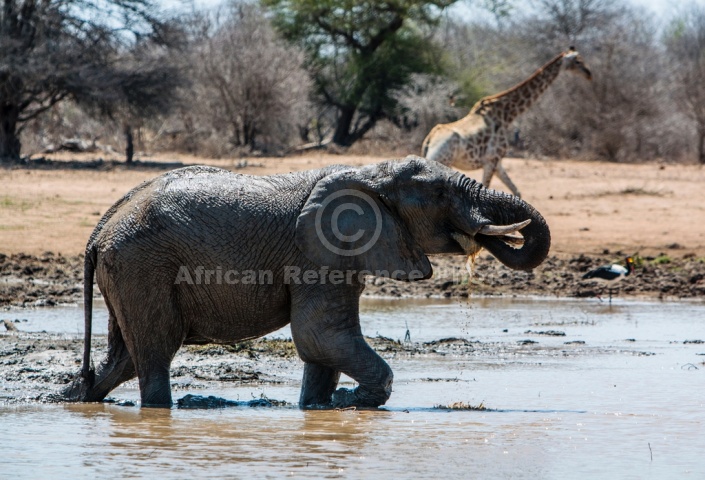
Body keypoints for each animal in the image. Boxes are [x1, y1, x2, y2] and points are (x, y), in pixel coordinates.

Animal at [64, 157, 552, 408]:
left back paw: (75, 396)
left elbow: (323, 345)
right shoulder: (316, 253)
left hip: (128, 270)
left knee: (124, 356)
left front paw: (319, 408)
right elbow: (321, 335)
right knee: (155, 351)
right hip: (142, 266)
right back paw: (156, 409)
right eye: (439, 195)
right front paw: (350, 400)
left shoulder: (339, 256)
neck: (370, 172)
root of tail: (99, 229)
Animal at [420, 47, 592, 198]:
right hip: (443, 160)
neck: (507, 115)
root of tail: (428, 142)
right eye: (577, 61)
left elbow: (517, 192)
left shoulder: (498, 164)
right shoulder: (491, 161)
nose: (589, 73)